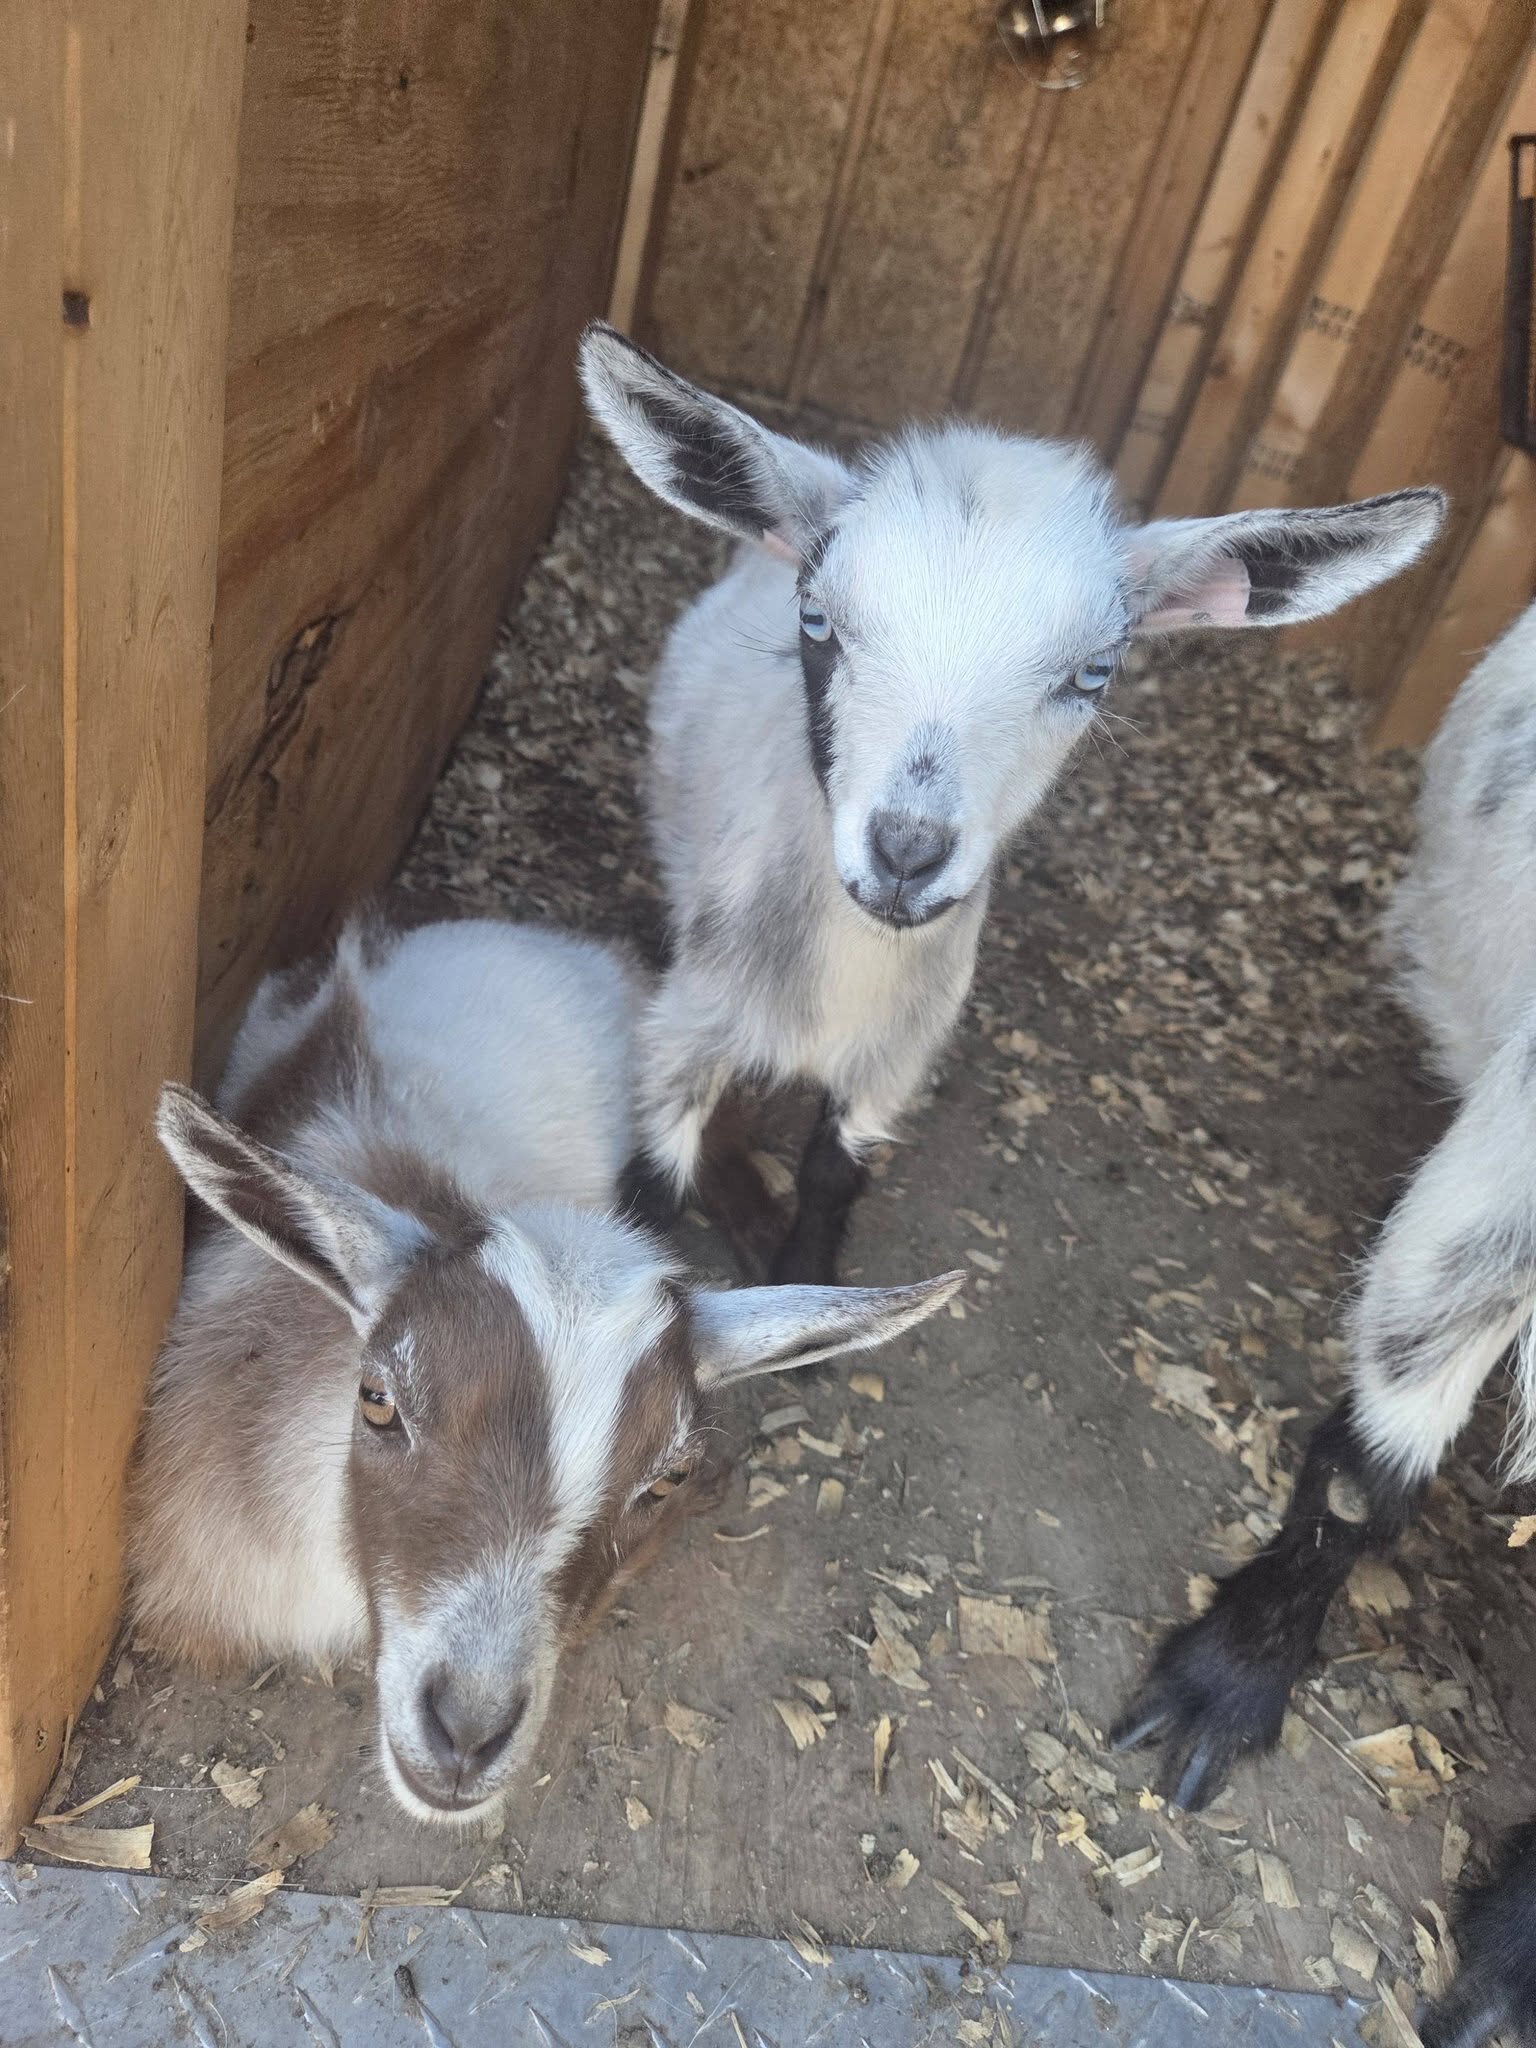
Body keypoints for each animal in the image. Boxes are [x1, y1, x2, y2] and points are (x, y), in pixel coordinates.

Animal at [579, 322, 1445, 1283]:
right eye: (817, 621)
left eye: (1093, 672)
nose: (906, 854)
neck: (845, 979)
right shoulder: (684, 1034)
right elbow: (652, 1195)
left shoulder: (894, 1062)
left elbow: (834, 1178)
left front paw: (803, 1272)